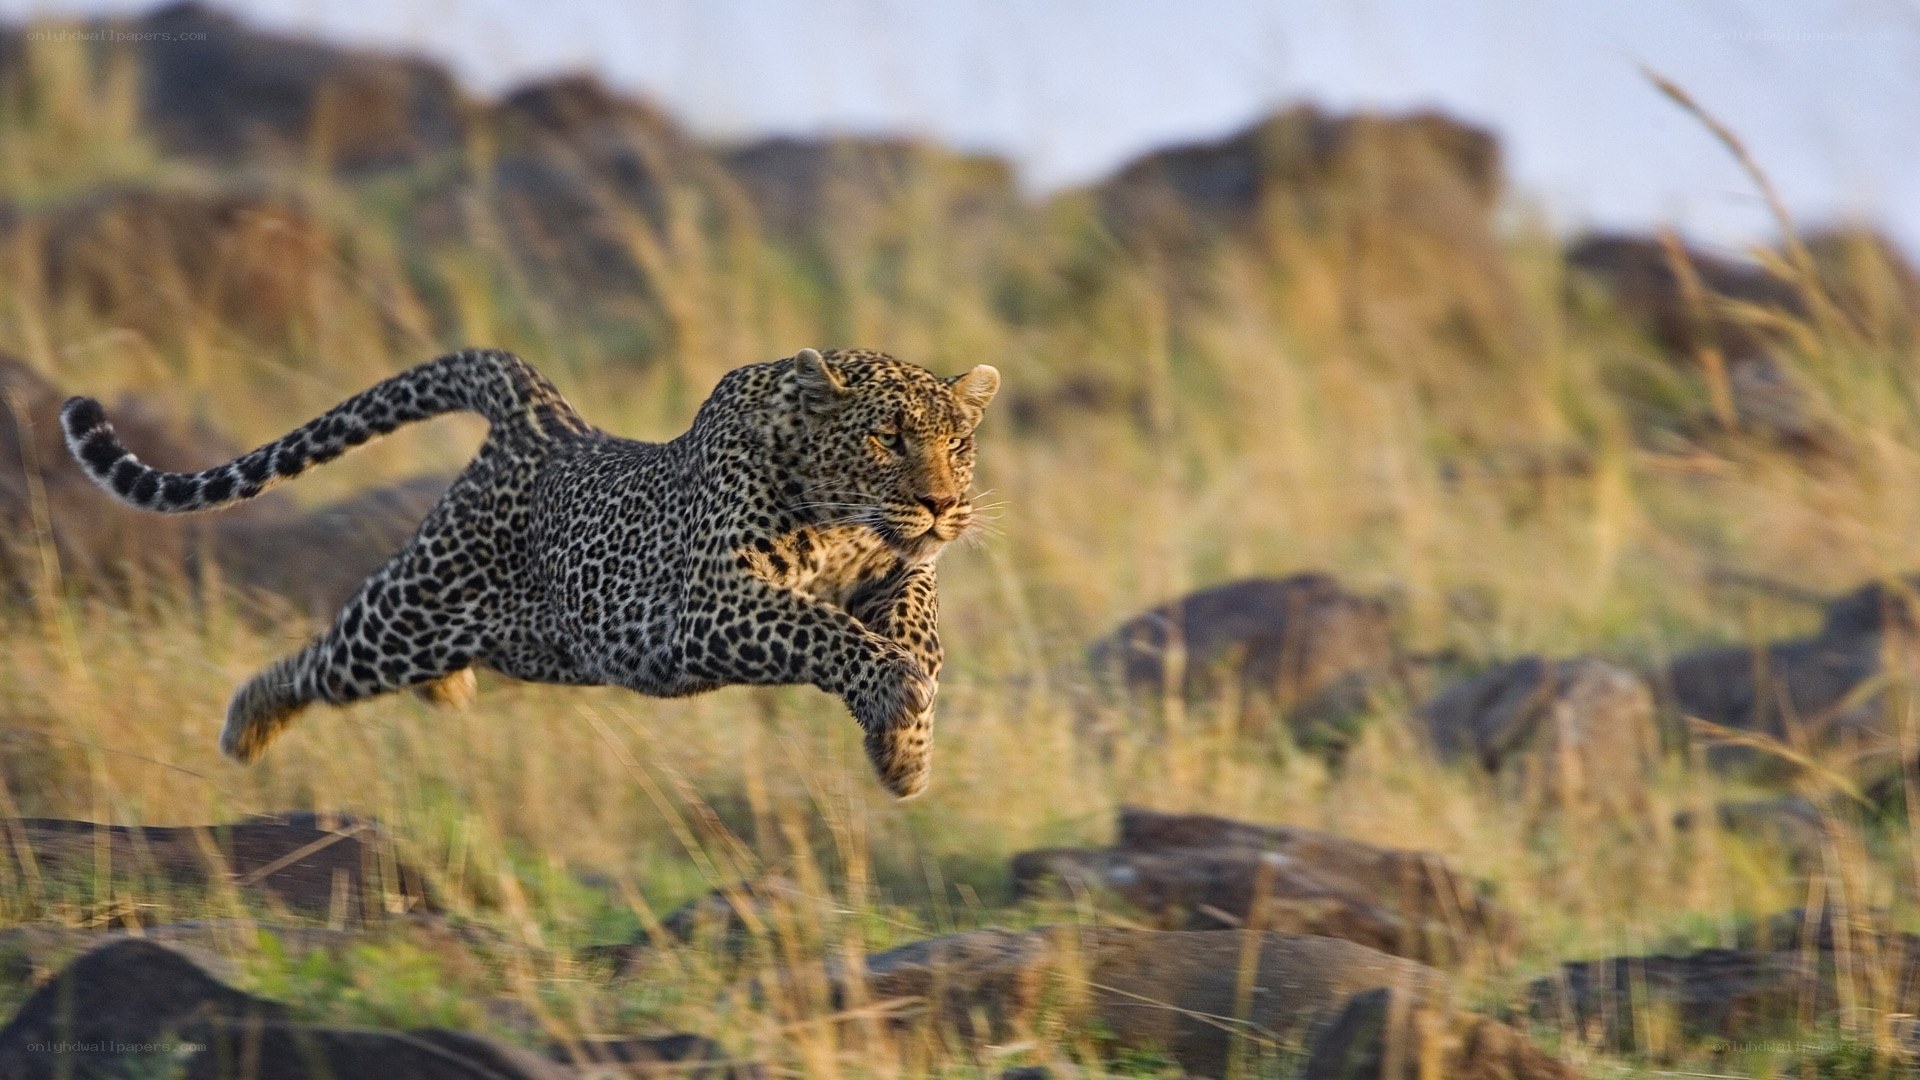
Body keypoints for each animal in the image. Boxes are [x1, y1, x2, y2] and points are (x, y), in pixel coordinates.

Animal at [60, 347, 999, 798]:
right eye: (887, 438)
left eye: (958, 443)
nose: (944, 504)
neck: (841, 517)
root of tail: (542, 418)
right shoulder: (706, 604)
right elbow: (818, 627)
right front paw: (894, 692)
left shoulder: (894, 570)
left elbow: (917, 616)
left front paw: (905, 742)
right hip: (408, 615)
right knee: (321, 659)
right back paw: (248, 724)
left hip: (531, 642)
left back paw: (444, 692)